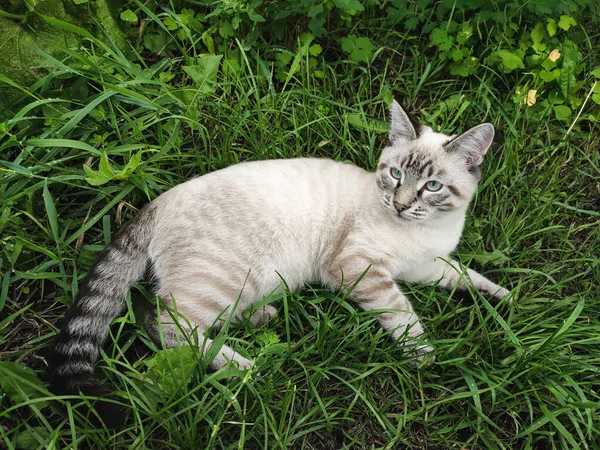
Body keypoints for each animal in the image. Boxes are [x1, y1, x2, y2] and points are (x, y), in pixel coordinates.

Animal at [47, 101, 510, 426]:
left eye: (431, 186)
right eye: (395, 175)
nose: (399, 204)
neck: (427, 229)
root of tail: (155, 203)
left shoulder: (423, 266)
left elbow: (463, 275)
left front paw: (502, 297)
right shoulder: (357, 268)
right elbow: (401, 311)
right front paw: (423, 355)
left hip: (252, 282)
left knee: (196, 319)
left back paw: (263, 319)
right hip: (229, 277)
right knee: (165, 322)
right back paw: (249, 368)